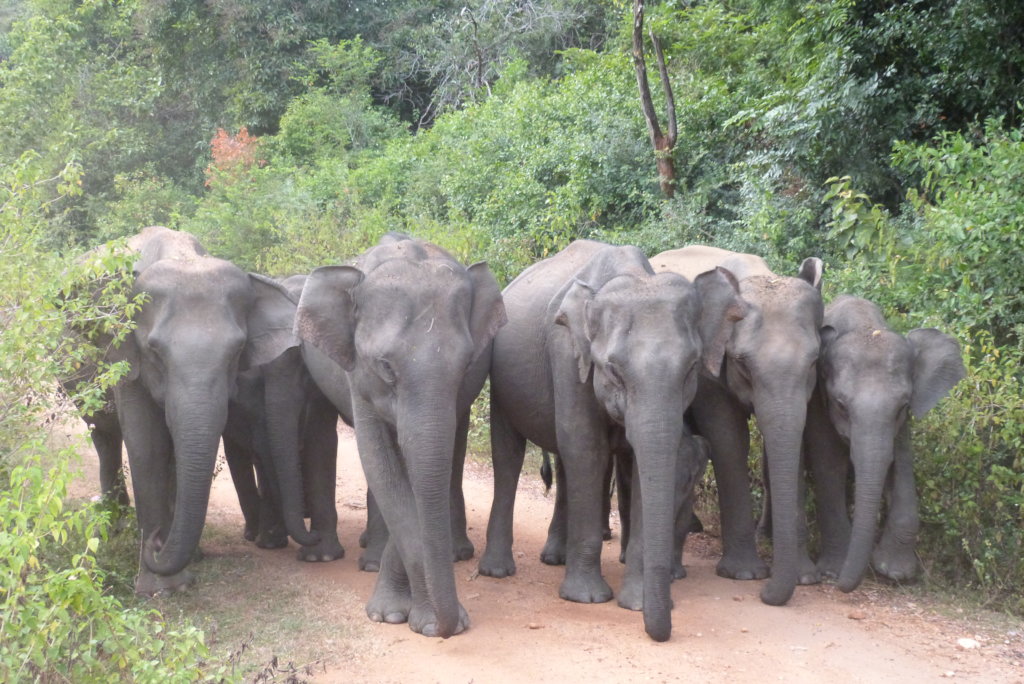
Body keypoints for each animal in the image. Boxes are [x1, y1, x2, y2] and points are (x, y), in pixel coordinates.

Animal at [110, 226, 304, 596]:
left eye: (238, 350)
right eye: (154, 351)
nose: (155, 541)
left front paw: (174, 582)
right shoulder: (124, 358)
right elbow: (146, 445)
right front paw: (156, 590)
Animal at [294, 234, 506, 638]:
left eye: (465, 365)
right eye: (386, 366)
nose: (447, 628)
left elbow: (415, 474)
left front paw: (419, 620)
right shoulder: (358, 376)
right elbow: (382, 465)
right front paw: (395, 617)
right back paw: (353, 558)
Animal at [478, 239, 745, 642]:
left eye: (691, 369)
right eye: (614, 371)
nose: (661, 630)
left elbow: (636, 463)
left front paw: (634, 604)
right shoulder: (566, 352)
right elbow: (586, 447)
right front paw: (586, 599)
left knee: (564, 465)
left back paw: (555, 558)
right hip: (503, 382)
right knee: (509, 454)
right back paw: (497, 571)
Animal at [650, 244, 824, 607]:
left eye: (814, 361)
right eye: (743, 363)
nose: (766, 596)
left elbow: (793, 440)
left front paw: (806, 578)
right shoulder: (708, 370)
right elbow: (729, 438)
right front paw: (744, 575)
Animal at [804, 295, 964, 591]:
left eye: (902, 406)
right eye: (840, 405)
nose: (840, 585)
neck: (865, 325)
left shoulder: (901, 422)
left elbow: (899, 460)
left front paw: (894, 572)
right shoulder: (818, 402)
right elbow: (829, 462)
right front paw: (833, 570)